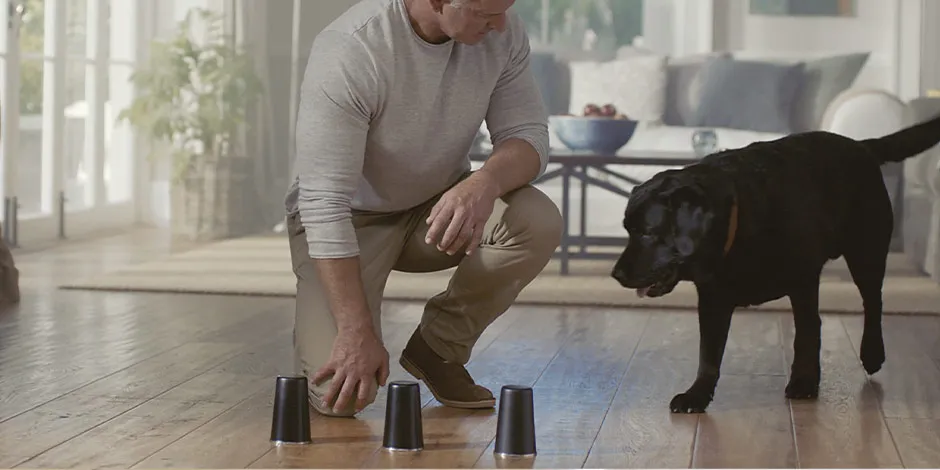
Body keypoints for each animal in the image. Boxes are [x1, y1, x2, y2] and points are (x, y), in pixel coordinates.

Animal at [608, 113, 940, 412]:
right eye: (627, 229)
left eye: (647, 232)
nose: (615, 273)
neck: (739, 219)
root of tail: (862, 145)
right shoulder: (713, 298)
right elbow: (708, 354)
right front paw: (697, 395)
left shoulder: (804, 280)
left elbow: (806, 332)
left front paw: (804, 382)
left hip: (866, 251)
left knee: (873, 302)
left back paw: (872, 353)